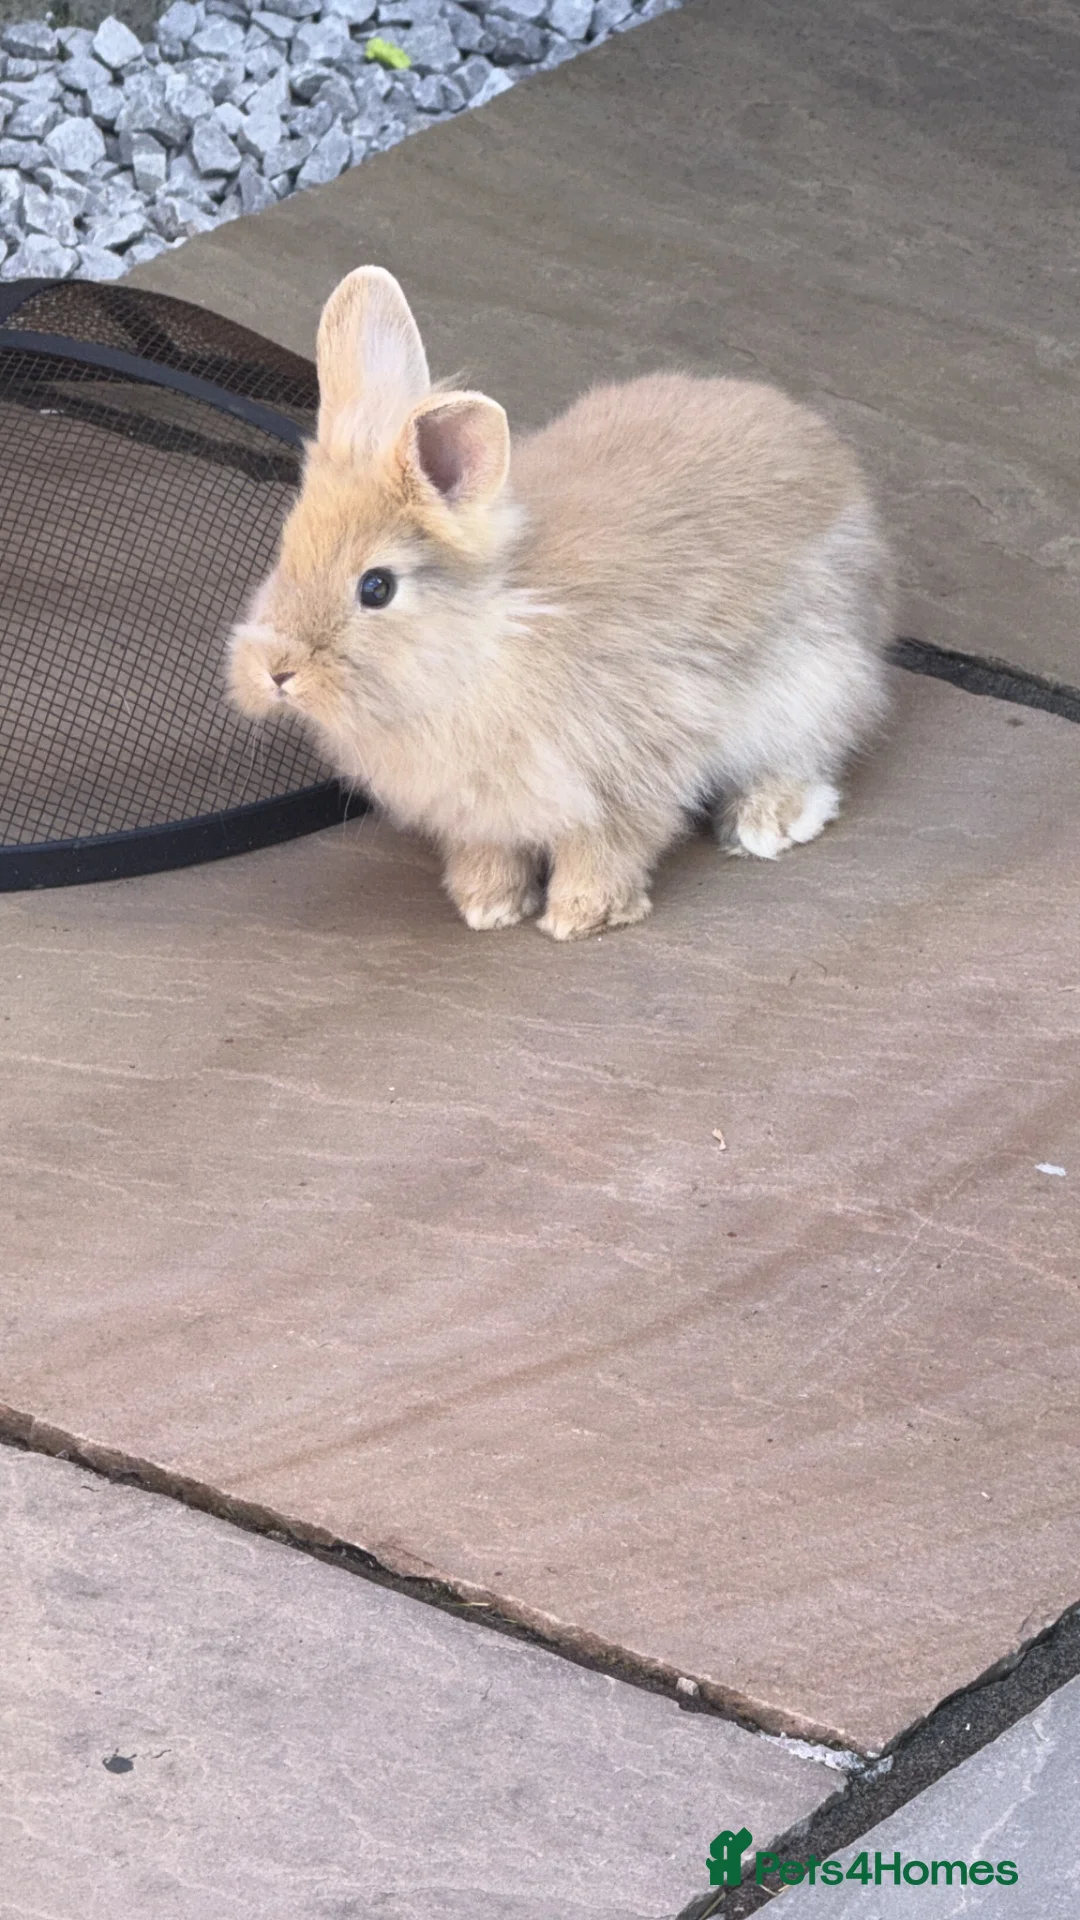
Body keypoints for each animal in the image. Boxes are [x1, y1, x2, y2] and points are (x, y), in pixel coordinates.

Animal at [227, 265, 893, 939]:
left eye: (377, 587)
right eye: (285, 551)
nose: (275, 672)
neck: (485, 640)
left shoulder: (630, 765)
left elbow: (608, 846)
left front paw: (579, 918)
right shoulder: (477, 814)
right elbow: (490, 853)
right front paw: (489, 908)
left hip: (812, 683)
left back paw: (767, 822)